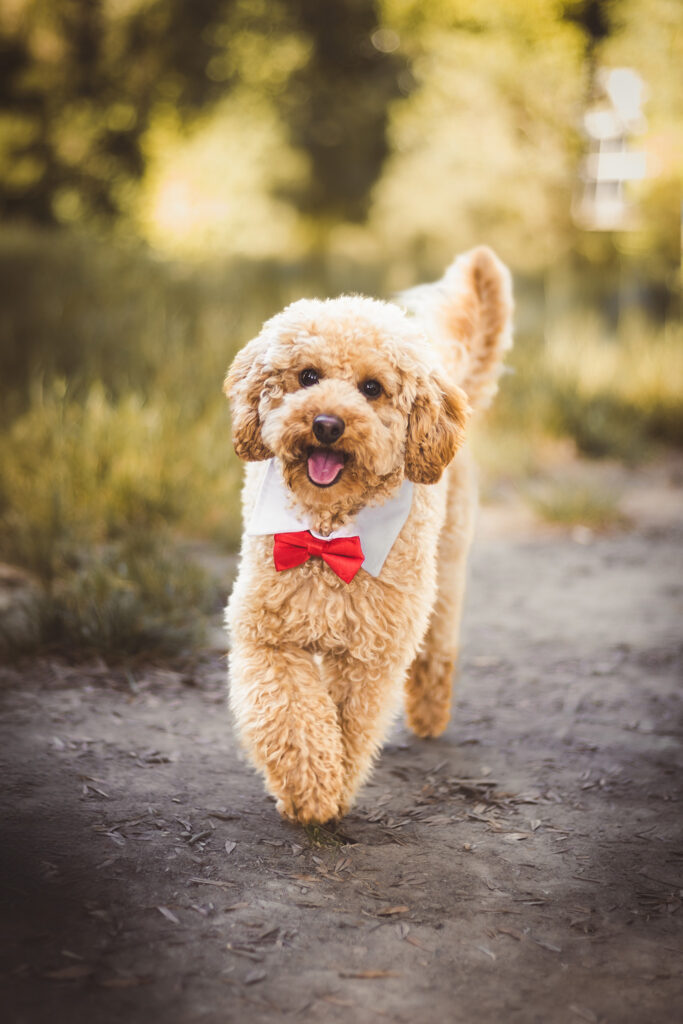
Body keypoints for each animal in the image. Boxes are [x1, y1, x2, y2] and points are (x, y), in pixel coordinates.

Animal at [224, 247, 511, 823]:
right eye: (307, 375)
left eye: (372, 388)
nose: (327, 424)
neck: (326, 533)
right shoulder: (266, 637)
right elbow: (291, 712)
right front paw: (310, 789)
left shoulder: (367, 654)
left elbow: (350, 724)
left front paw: (330, 788)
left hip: (445, 567)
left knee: (438, 643)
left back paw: (430, 709)